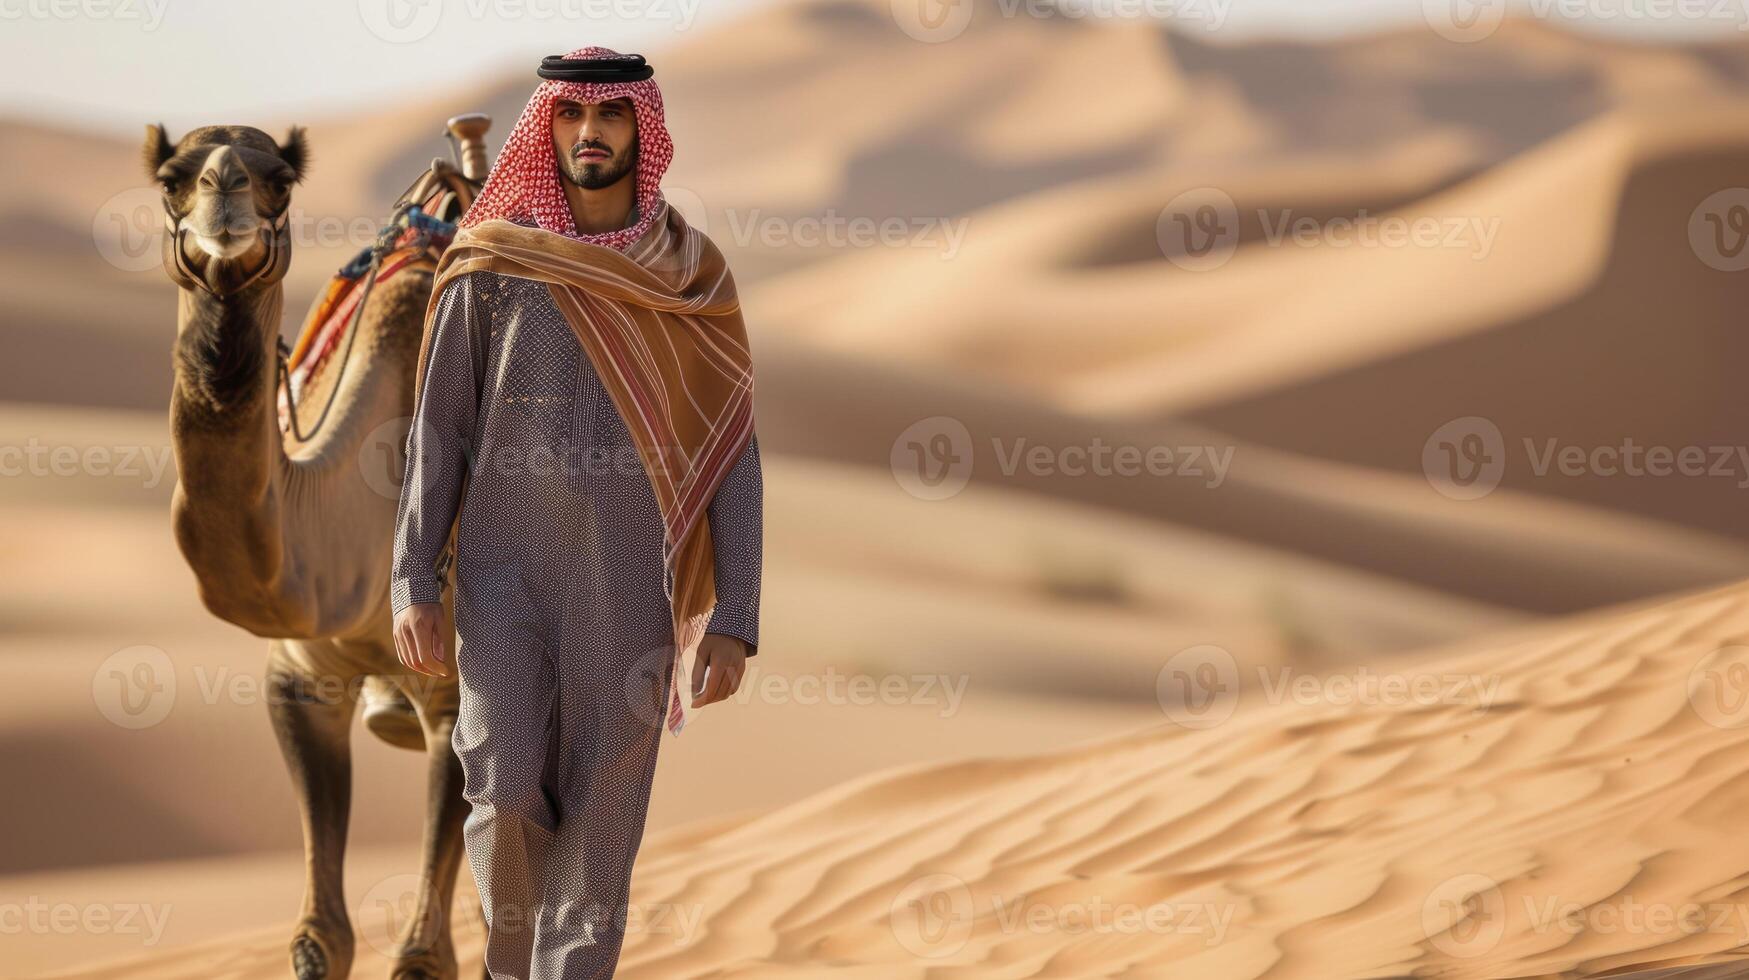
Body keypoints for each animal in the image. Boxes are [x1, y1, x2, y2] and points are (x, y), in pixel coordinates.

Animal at [141, 124, 486, 980]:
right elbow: (318, 939)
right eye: (171, 178)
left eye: (279, 179)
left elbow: (422, 958)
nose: (225, 197)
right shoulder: (301, 678)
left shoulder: (455, 692)